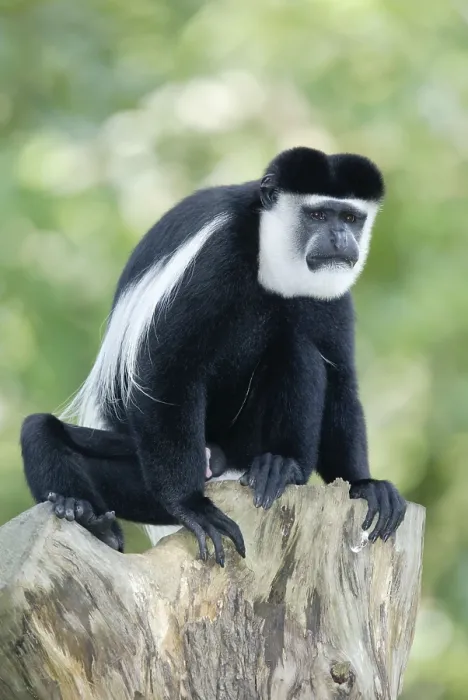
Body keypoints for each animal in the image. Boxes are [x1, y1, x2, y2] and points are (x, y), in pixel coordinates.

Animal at [20, 146, 406, 567]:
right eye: (319, 215)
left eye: (351, 218)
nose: (341, 237)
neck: (266, 249)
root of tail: (222, 467)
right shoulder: (213, 258)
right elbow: (166, 371)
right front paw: (191, 507)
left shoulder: (333, 293)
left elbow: (340, 381)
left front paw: (365, 484)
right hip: (147, 473)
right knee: (41, 430)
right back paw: (84, 515)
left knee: (299, 349)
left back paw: (280, 466)